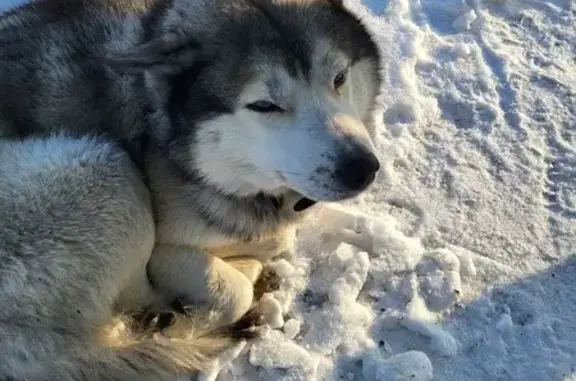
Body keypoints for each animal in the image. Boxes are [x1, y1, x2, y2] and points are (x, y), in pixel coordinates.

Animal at [0, 0, 382, 378]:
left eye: (339, 78)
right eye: (264, 106)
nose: (362, 169)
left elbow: (275, 236)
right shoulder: (167, 247)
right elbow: (233, 288)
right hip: (103, 166)